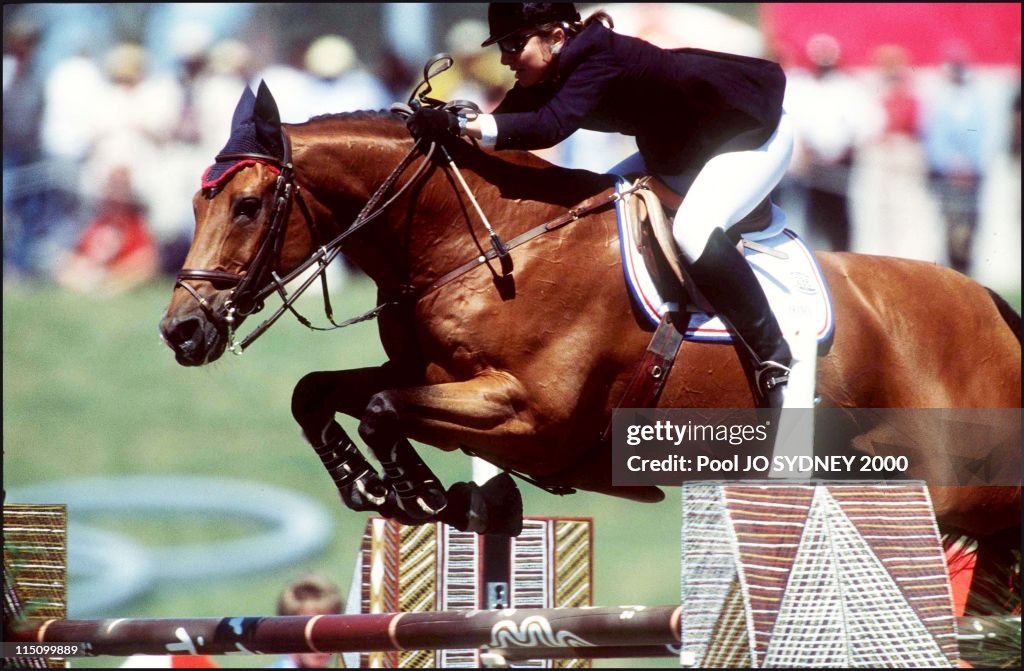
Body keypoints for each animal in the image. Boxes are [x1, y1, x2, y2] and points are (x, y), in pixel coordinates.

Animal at [155, 82, 1019, 614]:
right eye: (195, 202)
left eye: (247, 203)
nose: (181, 331)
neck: (484, 243)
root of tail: (991, 306)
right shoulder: (431, 374)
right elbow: (321, 391)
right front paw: (388, 489)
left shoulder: (532, 415)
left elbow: (379, 405)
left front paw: (427, 494)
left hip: (964, 491)